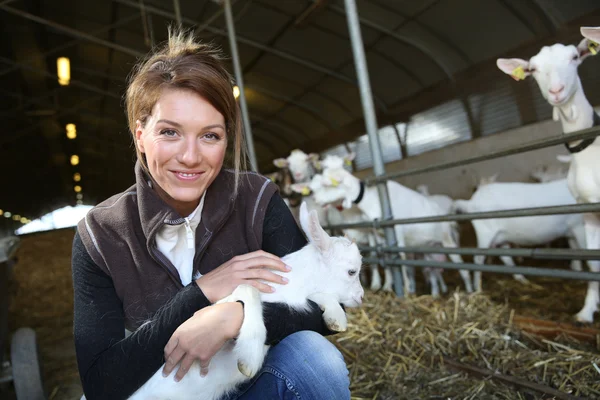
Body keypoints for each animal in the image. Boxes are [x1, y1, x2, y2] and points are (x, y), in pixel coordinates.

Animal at [128, 203, 364, 400]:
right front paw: (249, 357)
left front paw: (336, 318)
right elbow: (247, 289)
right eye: (352, 271)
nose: (361, 297)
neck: (292, 286)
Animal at [296, 167, 474, 296]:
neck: (373, 200)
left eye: (327, 184)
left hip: (447, 239)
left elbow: (401, 260)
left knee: (462, 266)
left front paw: (406, 290)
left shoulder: (397, 233)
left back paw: (470, 290)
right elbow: (385, 257)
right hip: (429, 248)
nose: (316, 200)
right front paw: (389, 285)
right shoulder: (379, 236)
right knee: (433, 270)